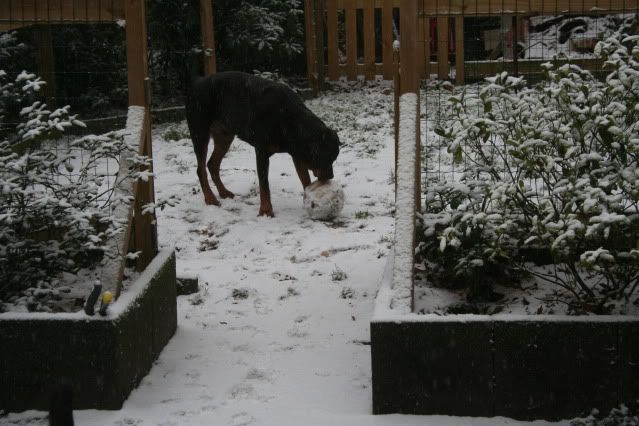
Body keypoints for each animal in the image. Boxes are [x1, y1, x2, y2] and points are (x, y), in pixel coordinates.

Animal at [186, 71, 340, 216]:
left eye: (334, 159)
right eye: (325, 159)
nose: (330, 176)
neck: (290, 121)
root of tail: (195, 83)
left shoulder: (297, 154)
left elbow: (305, 179)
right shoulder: (262, 152)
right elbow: (264, 184)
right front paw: (266, 211)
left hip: (224, 136)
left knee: (212, 164)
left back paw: (223, 192)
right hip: (199, 133)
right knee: (201, 169)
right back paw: (210, 198)